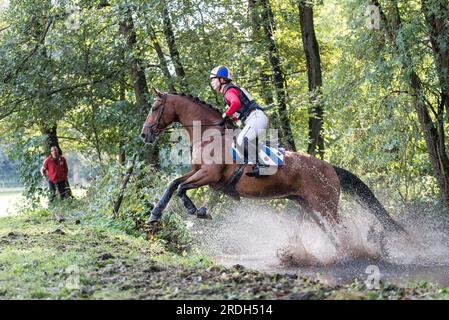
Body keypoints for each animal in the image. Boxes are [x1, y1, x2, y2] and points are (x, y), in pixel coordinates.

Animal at [140, 89, 402, 239]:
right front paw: (154, 215)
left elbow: (181, 188)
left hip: (324, 205)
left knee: (342, 228)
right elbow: (173, 184)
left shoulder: (209, 175)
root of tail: (330, 168)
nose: (144, 135)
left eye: (154, 108)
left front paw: (195, 210)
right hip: (311, 207)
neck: (208, 134)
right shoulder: (197, 172)